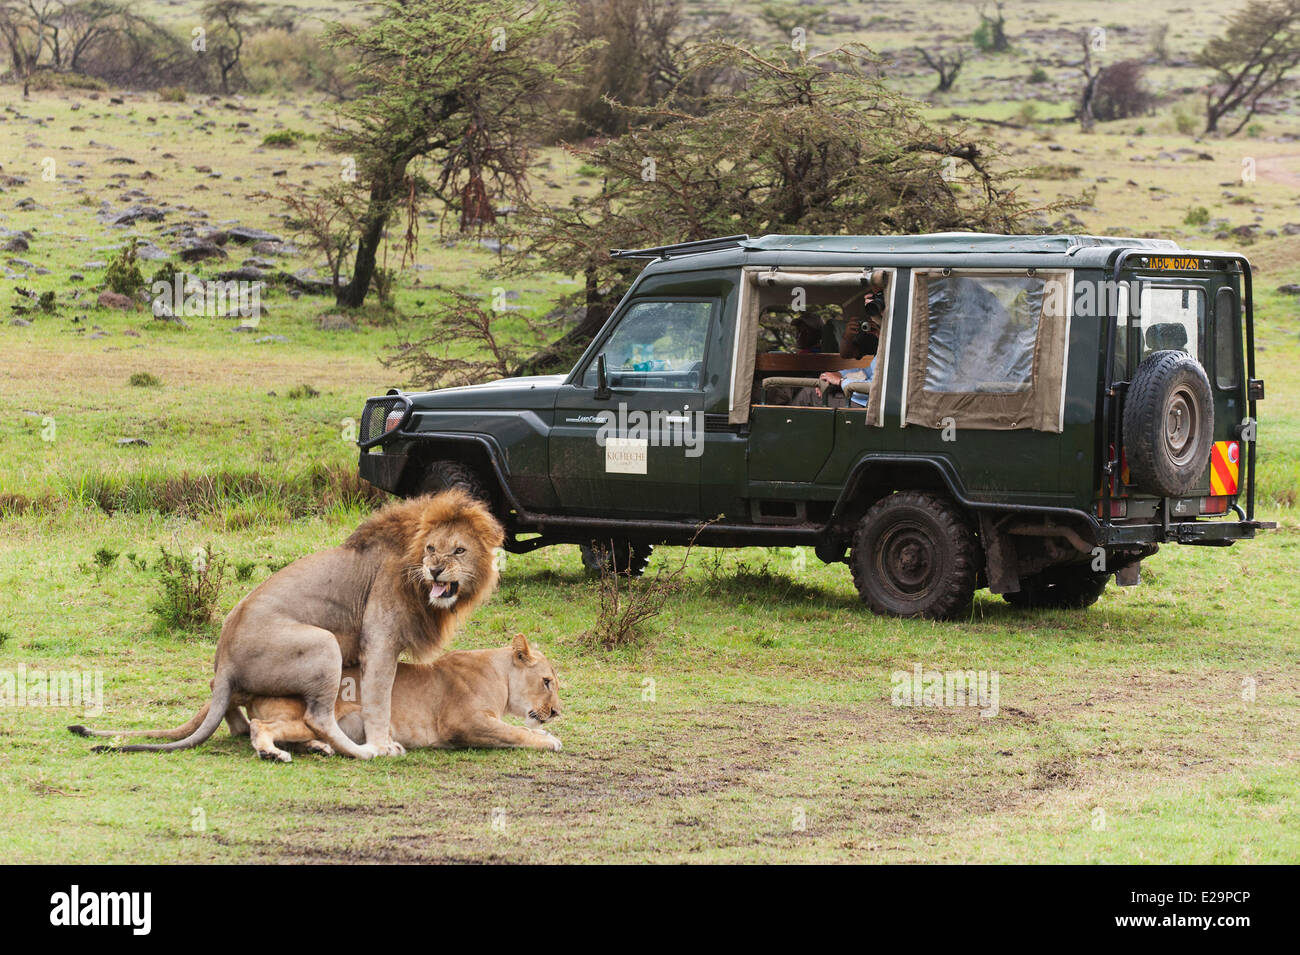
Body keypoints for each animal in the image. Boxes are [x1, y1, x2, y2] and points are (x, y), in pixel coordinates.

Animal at [70, 489, 504, 759]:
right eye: (431, 548)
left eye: (458, 550)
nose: (435, 569)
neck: (415, 572)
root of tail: (225, 661)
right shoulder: (379, 642)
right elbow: (380, 699)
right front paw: (383, 744)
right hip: (324, 644)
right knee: (317, 716)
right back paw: (360, 751)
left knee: (219, 695)